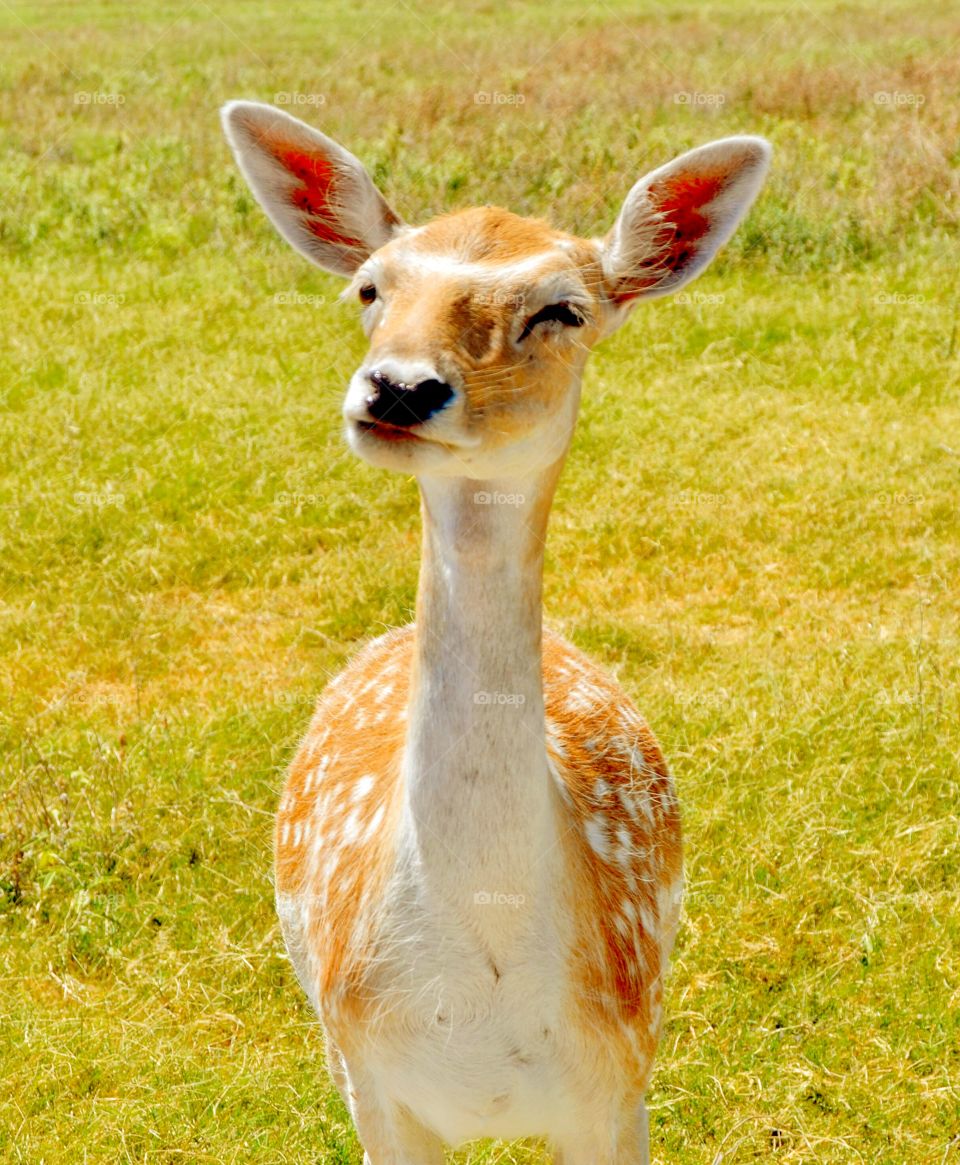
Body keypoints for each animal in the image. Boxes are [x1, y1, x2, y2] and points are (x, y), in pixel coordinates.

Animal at [221, 100, 770, 1164]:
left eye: (563, 309)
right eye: (370, 286)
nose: (397, 388)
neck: (479, 985)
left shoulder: (619, 1075)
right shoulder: (370, 1076)